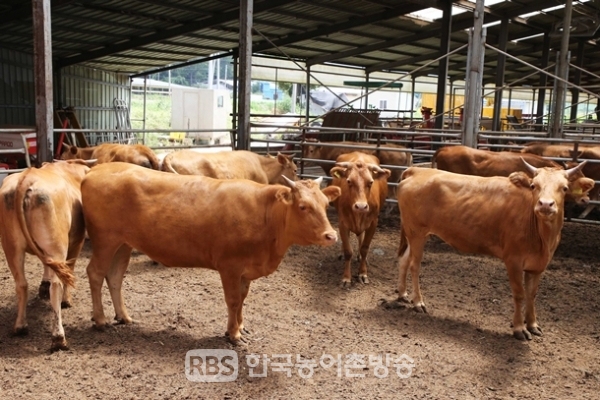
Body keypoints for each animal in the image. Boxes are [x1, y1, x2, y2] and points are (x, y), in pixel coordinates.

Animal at [0, 159, 94, 350]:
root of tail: (26, 177)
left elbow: (47, 265)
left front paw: (43, 285)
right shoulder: (76, 242)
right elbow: (68, 272)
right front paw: (66, 300)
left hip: (11, 246)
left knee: (21, 284)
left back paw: (20, 326)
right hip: (58, 245)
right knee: (57, 284)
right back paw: (58, 337)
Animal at [81, 162, 340, 344]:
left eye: (326, 204)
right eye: (303, 206)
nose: (331, 236)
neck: (266, 214)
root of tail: (95, 170)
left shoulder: (245, 270)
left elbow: (242, 299)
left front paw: (240, 326)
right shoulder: (230, 267)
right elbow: (233, 300)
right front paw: (233, 334)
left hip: (123, 244)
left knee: (114, 277)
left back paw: (123, 316)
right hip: (105, 240)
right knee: (95, 273)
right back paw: (100, 319)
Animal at [330, 152, 392, 286]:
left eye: (371, 182)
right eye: (348, 181)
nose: (361, 206)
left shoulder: (373, 223)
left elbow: (364, 248)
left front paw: (363, 273)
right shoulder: (342, 223)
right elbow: (348, 251)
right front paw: (346, 277)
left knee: (361, 238)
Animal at [398, 161, 584, 340]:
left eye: (564, 188)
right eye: (533, 185)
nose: (545, 204)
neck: (542, 239)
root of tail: (417, 170)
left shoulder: (538, 266)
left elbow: (532, 294)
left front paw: (532, 324)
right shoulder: (513, 261)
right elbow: (519, 294)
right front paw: (519, 328)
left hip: (412, 234)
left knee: (404, 260)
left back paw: (402, 294)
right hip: (417, 233)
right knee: (414, 265)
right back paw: (418, 302)